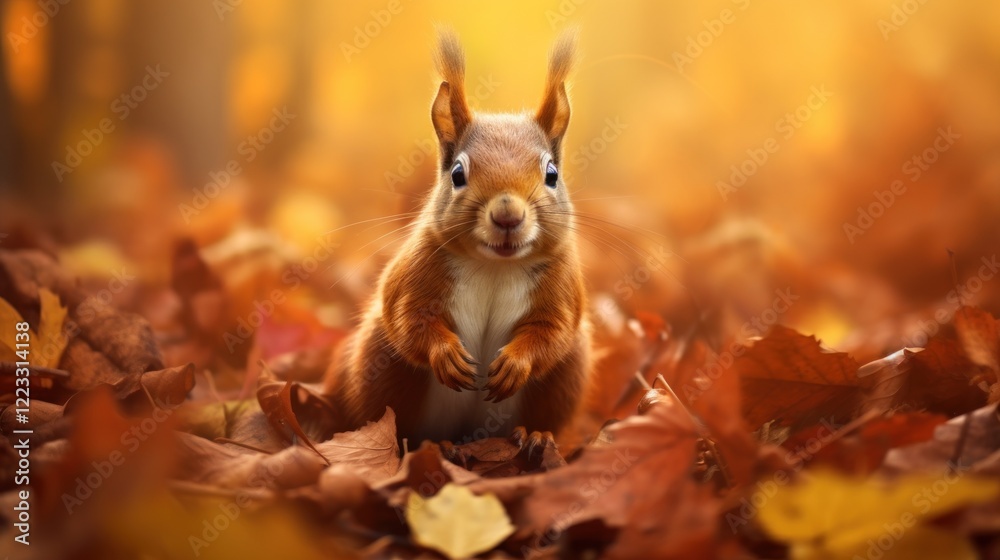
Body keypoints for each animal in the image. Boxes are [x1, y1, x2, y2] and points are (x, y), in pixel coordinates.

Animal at [323, 29, 591, 449]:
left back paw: (535, 435)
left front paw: (516, 363)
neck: (495, 267)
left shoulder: (562, 289)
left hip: (568, 374)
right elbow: (410, 319)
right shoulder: (416, 273)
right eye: (458, 174)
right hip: (378, 363)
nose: (508, 215)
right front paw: (446, 354)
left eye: (551, 174)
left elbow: (552, 332)